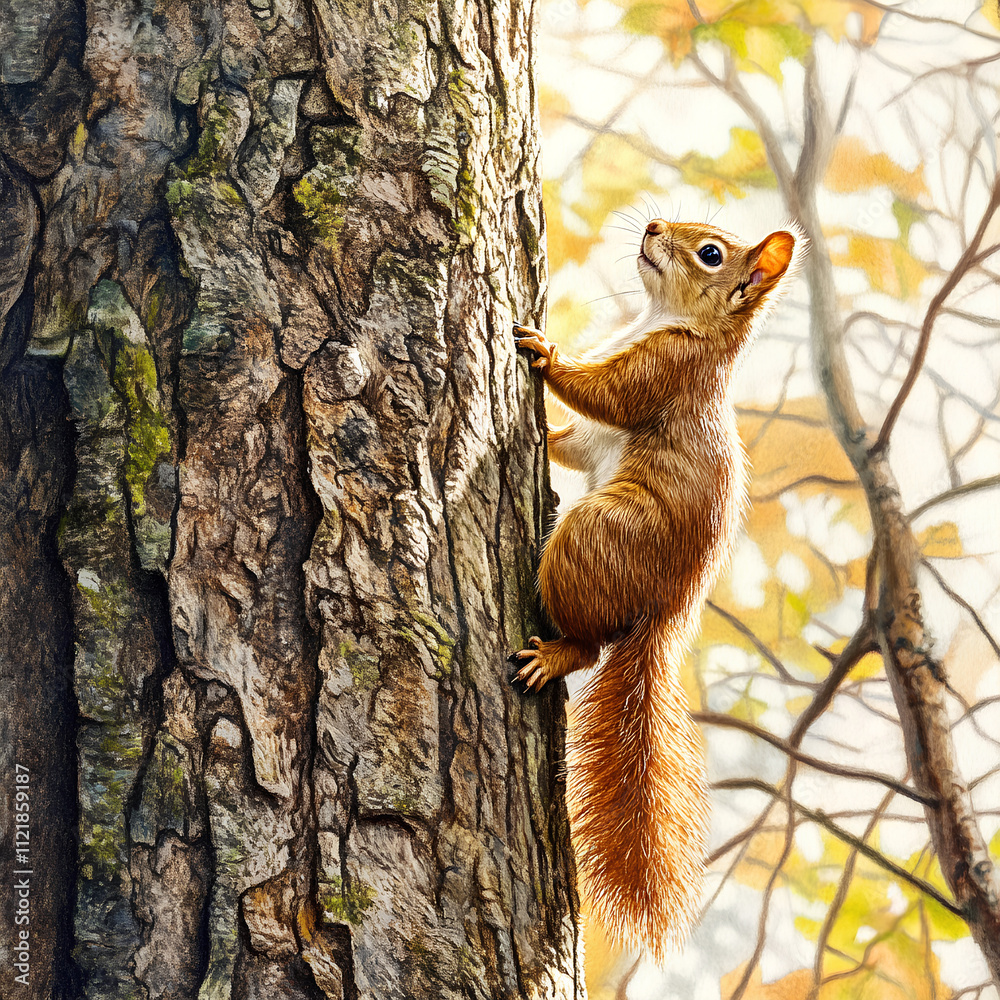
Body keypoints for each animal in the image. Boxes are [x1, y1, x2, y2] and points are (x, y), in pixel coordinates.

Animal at [512, 218, 800, 960]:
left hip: (594, 536)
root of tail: (665, 613)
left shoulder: (664, 372)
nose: (652, 225)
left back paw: (557, 654)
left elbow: (604, 396)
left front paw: (545, 352)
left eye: (711, 254)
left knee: (589, 645)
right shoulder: (599, 429)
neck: (666, 320)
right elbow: (573, 441)